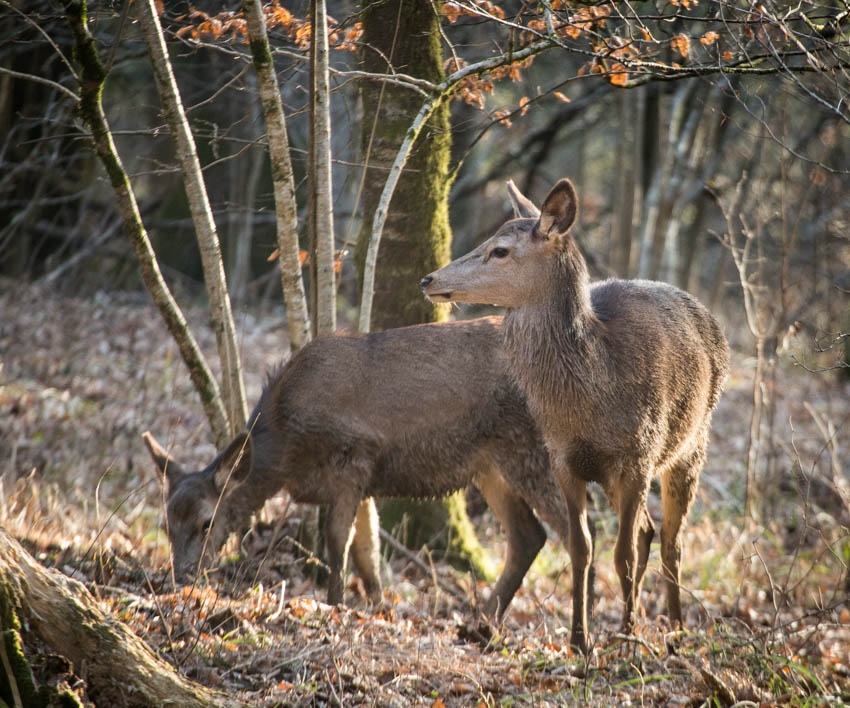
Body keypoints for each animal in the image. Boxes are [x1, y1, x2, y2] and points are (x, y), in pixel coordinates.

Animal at [142, 316, 588, 620]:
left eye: (206, 522)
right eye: (166, 524)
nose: (181, 577)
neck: (288, 451)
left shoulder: (353, 457)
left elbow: (338, 541)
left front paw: (335, 605)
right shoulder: (366, 481)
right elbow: (367, 550)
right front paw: (377, 606)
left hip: (527, 449)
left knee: (576, 534)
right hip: (490, 465)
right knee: (529, 536)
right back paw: (481, 622)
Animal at [420, 178, 724, 652]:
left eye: (500, 250)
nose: (428, 279)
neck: (593, 397)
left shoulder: (638, 457)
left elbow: (622, 554)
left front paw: (627, 638)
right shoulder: (563, 459)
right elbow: (582, 547)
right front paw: (581, 640)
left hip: (693, 442)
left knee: (672, 540)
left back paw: (674, 631)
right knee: (647, 531)